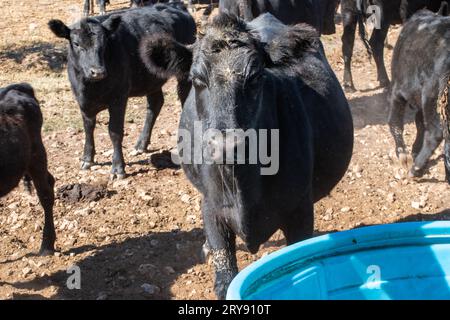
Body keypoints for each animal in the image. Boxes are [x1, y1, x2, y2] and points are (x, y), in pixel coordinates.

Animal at [49, 5, 197, 179]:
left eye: (105, 43)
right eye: (76, 44)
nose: (98, 71)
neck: (92, 88)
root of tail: (177, 7)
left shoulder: (118, 98)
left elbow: (115, 131)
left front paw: (118, 167)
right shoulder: (82, 100)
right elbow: (88, 128)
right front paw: (87, 159)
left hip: (184, 74)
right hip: (151, 79)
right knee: (155, 104)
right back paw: (141, 144)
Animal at [141, 12, 356, 298]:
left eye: (255, 78)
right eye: (197, 80)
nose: (227, 144)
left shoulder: (300, 210)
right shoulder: (211, 208)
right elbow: (224, 274)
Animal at [386, 8, 450, 182]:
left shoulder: (397, 91)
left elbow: (395, 123)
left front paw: (403, 155)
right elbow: (419, 123)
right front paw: (414, 149)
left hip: (431, 95)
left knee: (435, 133)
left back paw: (415, 169)